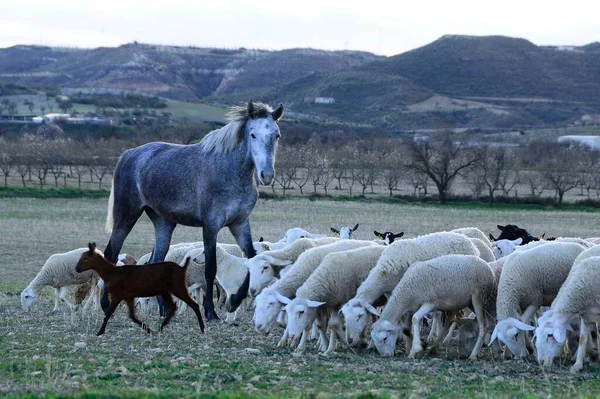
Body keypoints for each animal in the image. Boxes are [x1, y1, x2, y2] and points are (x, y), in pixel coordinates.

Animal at [102, 101, 282, 322]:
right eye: (253, 134)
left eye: (276, 135)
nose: (267, 175)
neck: (230, 171)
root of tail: (129, 154)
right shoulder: (211, 226)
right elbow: (210, 269)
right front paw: (210, 312)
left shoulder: (240, 224)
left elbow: (251, 258)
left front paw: (233, 302)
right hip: (126, 217)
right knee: (111, 254)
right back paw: (106, 305)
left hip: (164, 223)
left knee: (155, 261)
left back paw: (164, 309)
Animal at [342, 231, 478, 346]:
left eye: (359, 316)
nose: (350, 340)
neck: (384, 273)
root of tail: (469, 242)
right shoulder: (391, 293)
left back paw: (443, 336)